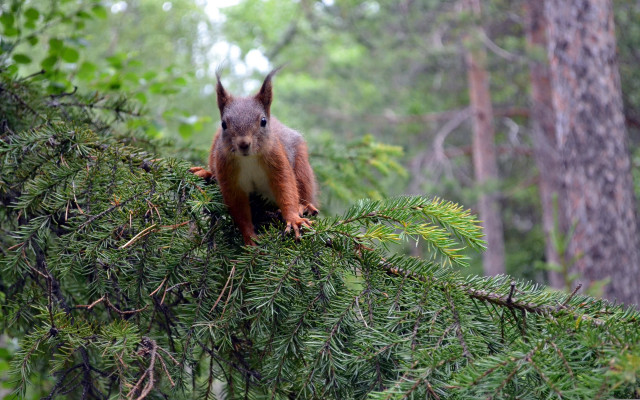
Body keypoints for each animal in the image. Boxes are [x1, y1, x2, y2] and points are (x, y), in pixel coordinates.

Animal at [189, 68, 319, 246]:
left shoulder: (277, 160)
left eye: (263, 121)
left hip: (300, 164)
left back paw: (305, 207)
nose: (244, 144)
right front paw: (250, 238)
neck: (248, 158)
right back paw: (206, 173)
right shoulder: (227, 174)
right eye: (223, 124)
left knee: (303, 188)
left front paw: (294, 219)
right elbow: (239, 209)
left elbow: (286, 188)